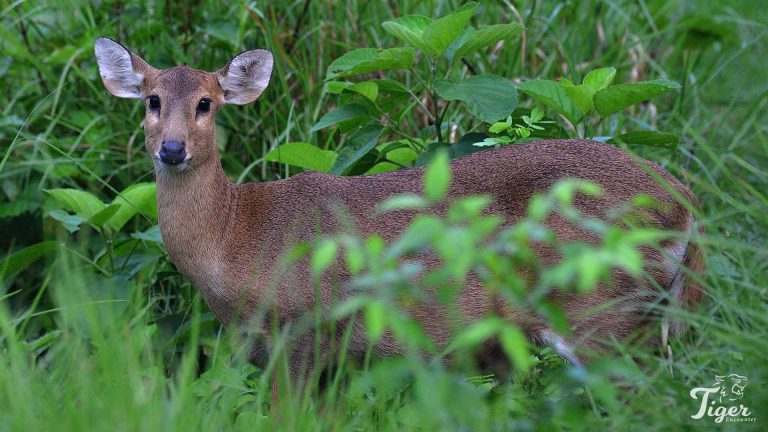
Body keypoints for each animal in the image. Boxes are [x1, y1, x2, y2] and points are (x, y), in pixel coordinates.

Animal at [94, 37, 704, 397]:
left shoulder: (304, 329)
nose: (172, 149)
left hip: (598, 309)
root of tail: (684, 203)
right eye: (151, 100)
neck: (237, 237)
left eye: (206, 103)